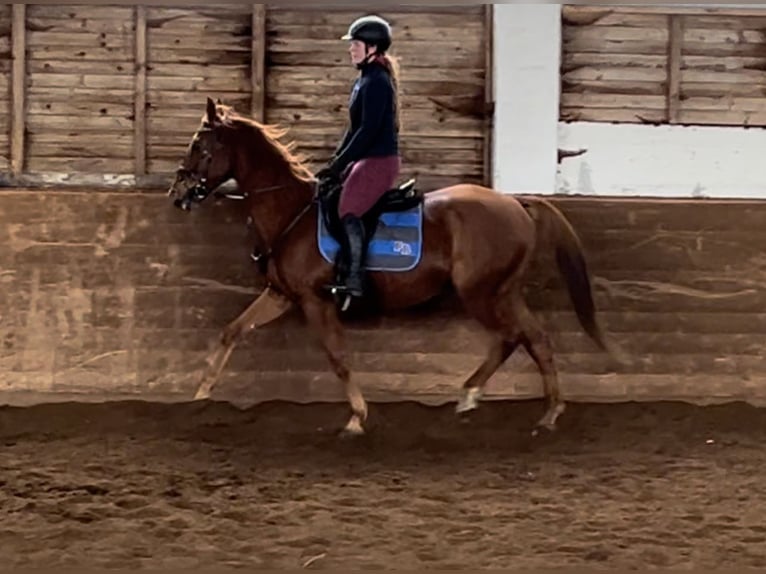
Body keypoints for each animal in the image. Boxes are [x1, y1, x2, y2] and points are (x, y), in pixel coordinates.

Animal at [168, 99, 616, 438]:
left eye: (198, 144)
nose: (177, 193)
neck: (291, 212)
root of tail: (516, 203)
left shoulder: (316, 301)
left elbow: (338, 357)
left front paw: (357, 417)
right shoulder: (281, 296)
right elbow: (231, 332)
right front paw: (200, 397)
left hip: (480, 293)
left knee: (513, 337)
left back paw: (498, 400)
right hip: (503, 292)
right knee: (533, 338)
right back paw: (534, 409)